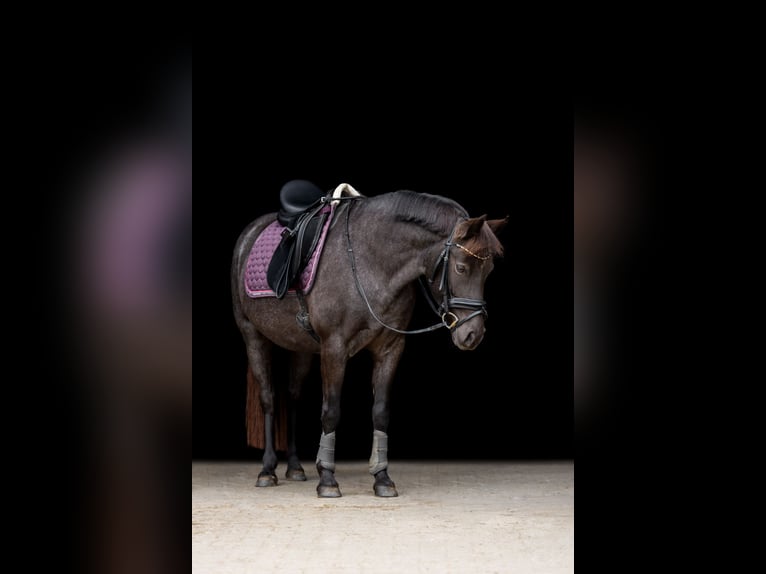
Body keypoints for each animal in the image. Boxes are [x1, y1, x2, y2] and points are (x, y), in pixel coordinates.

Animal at [231, 186, 508, 500]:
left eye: (488, 271)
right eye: (461, 268)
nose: (473, 333)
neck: (370, 262)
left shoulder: (390, 348)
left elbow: (381, 412)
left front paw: (382, 478)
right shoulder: (334, 348)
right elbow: (331, 412)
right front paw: (327, 479)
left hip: (299, 348)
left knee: (292, 397)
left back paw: (294, 467)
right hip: (253, 336)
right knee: (268, 398)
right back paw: (267, 470)